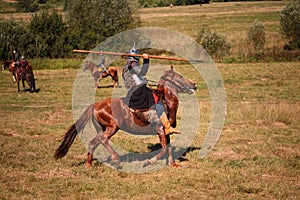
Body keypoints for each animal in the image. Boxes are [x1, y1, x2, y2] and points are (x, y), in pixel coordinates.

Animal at [54, 66, 197, 168]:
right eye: (180, 76)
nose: (194, 84)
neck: (166, 101)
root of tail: (95, 105)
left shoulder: (166, 132)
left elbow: (169, 148)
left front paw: (173, 164)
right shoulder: (160, 130)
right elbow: (164, 148)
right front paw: (149, 161)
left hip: (102, 128)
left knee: (93, 142)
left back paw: (89, 164)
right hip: (113, 126)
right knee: (103, 139)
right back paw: (116, 159)